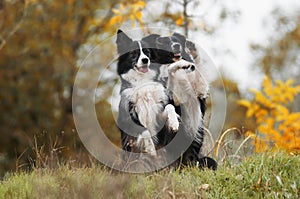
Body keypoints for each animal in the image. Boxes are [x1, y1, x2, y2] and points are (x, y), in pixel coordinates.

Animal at [116, 29, 179, 157]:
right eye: (133, 53)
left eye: (147, 52)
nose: (145, 60)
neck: (142, 81)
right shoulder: (129, 116)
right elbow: (145, 131)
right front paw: (150, 149)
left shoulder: (158, 110)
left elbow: (170, 106)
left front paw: (174, 123)